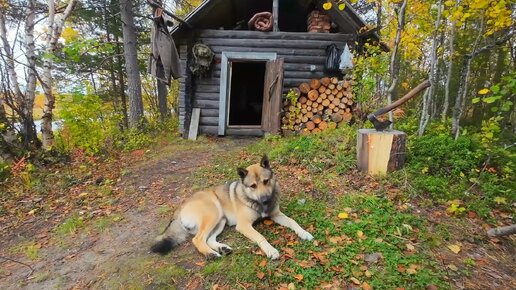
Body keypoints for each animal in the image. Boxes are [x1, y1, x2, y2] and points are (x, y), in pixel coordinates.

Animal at [147, 155, 312, 260]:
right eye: (253, 186)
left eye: (266, 181)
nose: (266, 200)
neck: (255, 201)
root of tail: (181, 206)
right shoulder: (244, 225)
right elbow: (260, 236)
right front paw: (270, 250)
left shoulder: (277, 215)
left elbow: (293, 222)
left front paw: (304, 233)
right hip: (214, 214)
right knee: (198, 239)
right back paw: (211, 254)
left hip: (220, 221)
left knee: (208, 239)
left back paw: (221, 249)